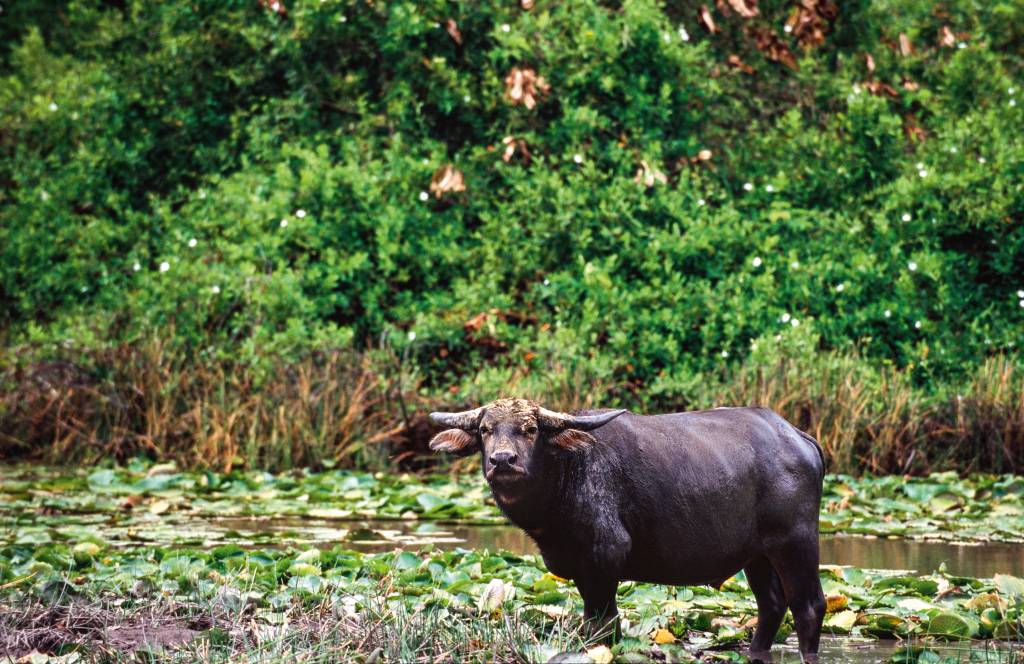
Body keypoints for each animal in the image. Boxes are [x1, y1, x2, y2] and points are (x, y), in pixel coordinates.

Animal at [428, 399, 827, 664]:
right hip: (758, 554)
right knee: (772, 604)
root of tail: (798, 437)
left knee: (809, 606)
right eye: (485, 430)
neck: (566, 474)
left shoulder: (605, 559)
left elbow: (602, 624)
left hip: (796, 542)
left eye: (530, 429)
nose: (503, 460)